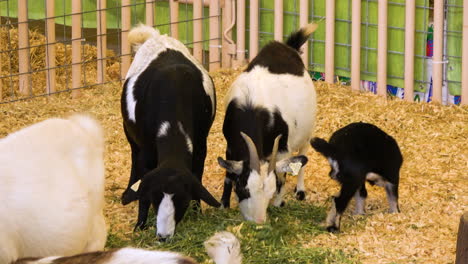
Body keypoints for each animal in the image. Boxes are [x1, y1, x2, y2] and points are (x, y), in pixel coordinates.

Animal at [121, 24, 222, 239]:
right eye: (155, 198)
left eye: (182, 200)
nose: (163, 236)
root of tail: (157, 36)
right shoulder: (147, 151)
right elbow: (143, 184)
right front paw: (140, 224)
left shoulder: (201, 146)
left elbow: (197, 177)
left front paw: (197, 213)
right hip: (129, 133)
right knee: (133, 155)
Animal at [217, 23, 318, 224]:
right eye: (243, 189)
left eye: (269, 193)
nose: (258, 221)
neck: (252, 109)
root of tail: (287, 47)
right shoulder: (230, 143)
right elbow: (228, 173)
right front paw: (224, 204)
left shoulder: (282, 148)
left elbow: (282, 176)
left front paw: (278, 202)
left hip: (307, 131)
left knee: (303, 155)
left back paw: (300, 190)